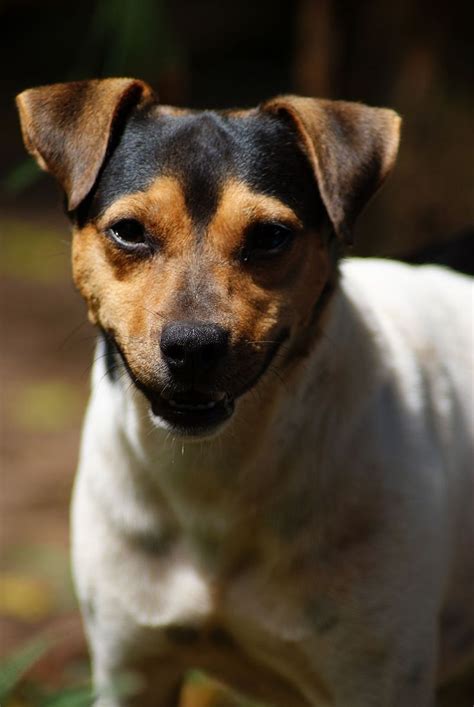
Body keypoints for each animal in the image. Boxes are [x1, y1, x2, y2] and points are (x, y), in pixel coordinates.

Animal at [16, 79, 472, 707]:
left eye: (270, 236)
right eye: (128, 231)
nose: (193, 346)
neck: (213, 478)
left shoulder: (377, 678)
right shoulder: (130, 667)